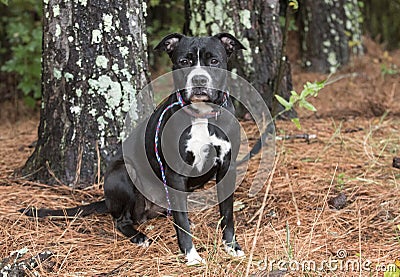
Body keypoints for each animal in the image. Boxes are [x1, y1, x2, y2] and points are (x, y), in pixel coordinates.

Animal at [21, 33, 253, 264]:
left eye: (214, 60)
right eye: (183, 61)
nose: (199, 80)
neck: (202, 115)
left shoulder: (227, 168)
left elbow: (227, 213)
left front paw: (231, 246)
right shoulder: (176, 173)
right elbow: (183, 223)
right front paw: (191, 255)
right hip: (124, 172)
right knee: (122, 220)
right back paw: (139, 236)